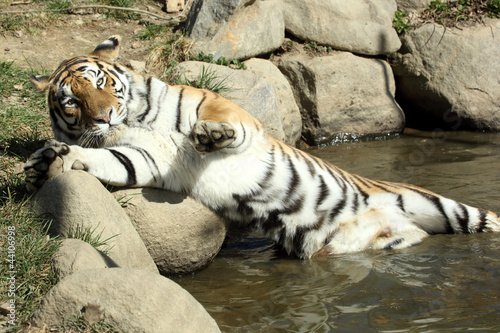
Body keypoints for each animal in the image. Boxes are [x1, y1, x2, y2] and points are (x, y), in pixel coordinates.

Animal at [24, 37, 500, 260]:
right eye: (72, 101)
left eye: (102, 83)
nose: (104, 117)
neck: (136, 121)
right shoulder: (144, 158)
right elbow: (107, 160)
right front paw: (48, 162)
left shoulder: (222, 107)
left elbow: (217, 118)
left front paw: (207, 136)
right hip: (351, 244)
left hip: (449, 208)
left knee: (486, 219)